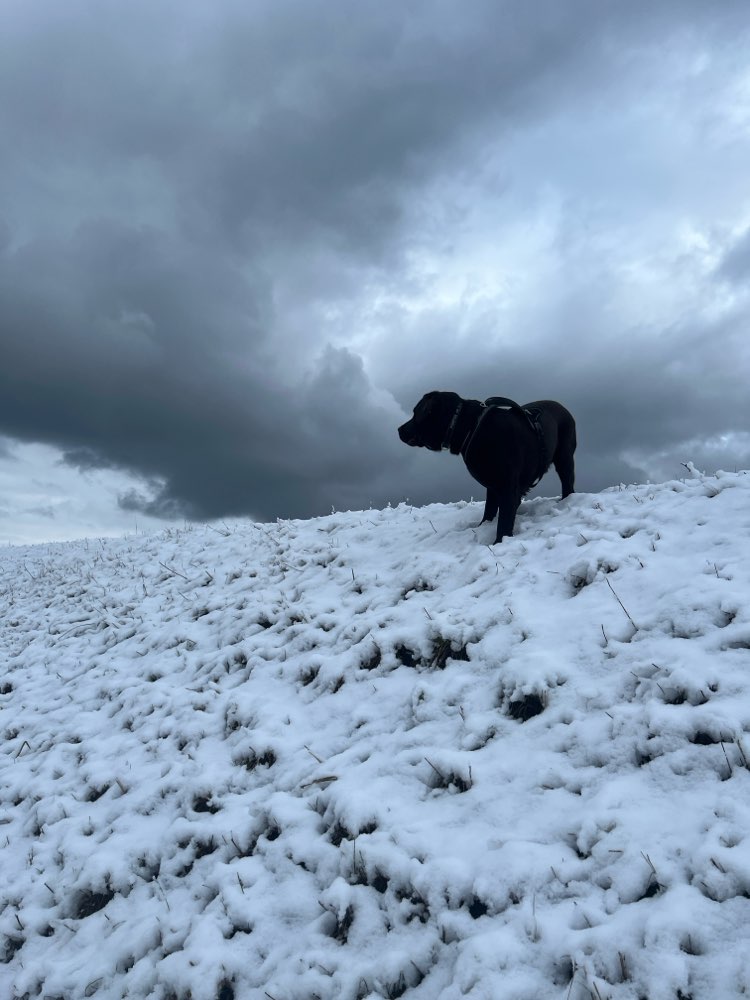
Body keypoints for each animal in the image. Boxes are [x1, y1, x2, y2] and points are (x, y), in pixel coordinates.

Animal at [402, 394, 580, 544]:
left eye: (416, 413)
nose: (399, 430)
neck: (471, 427)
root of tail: (561, 406)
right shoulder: (493, 486)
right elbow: (489, 511)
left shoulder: (508, 487)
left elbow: (504, 522)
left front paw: (499, 543)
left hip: (564, 458)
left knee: (568, 484)